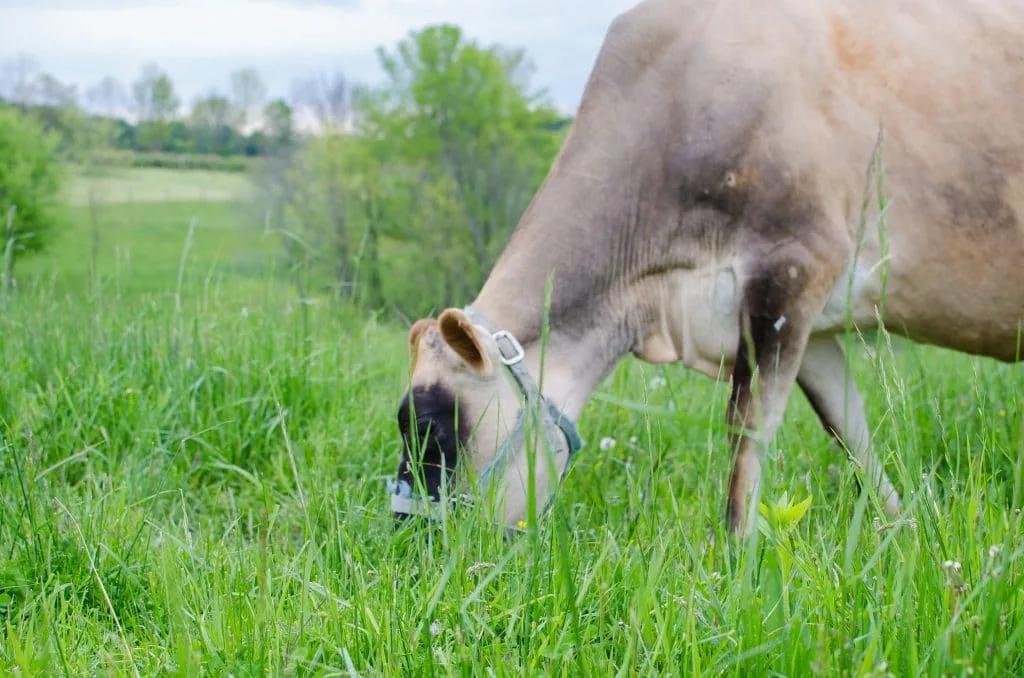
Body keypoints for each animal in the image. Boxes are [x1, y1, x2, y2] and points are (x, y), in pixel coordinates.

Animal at [389, 0, 1024, 538]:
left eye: (433, 427)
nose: (408, 540)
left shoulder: (793, 268)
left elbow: (746, 433)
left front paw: (738, 561)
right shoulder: (806, 325)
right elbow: (849, 428)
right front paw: (904, 531)